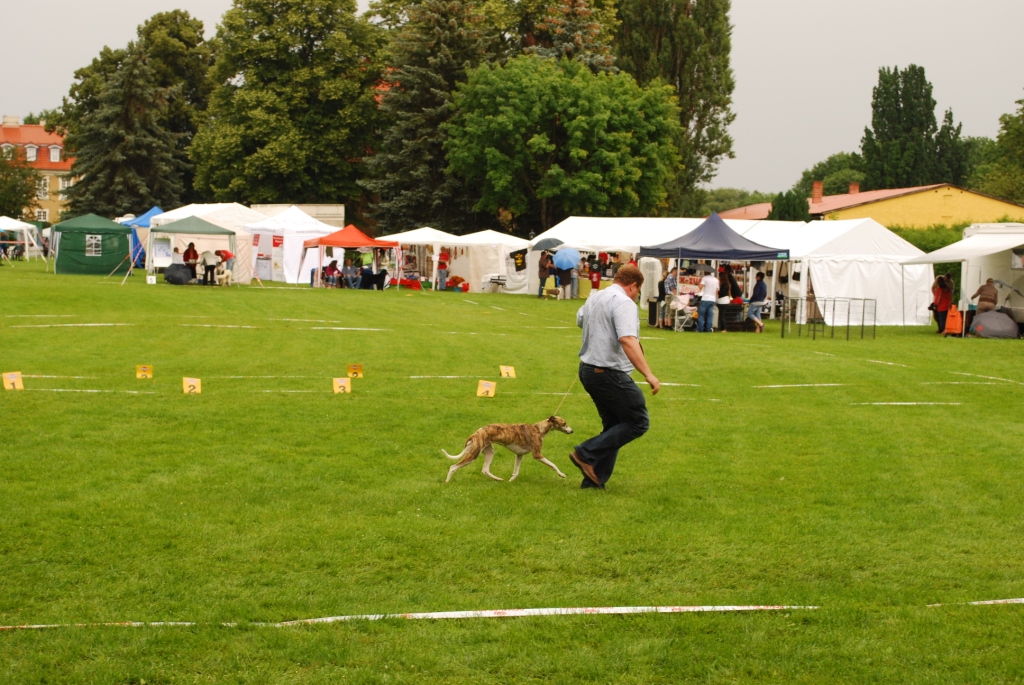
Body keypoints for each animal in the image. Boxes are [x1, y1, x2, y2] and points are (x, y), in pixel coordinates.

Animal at [444, 413, 577, 483]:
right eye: (564, 423)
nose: (572, 431)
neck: (539, 429)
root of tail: (476, 433)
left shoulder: (519, 455)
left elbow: (516, 471)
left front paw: (511, 480)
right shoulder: (537, 454)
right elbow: (553, 465)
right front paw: (562, 475)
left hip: (489, 451)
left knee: (485, 469)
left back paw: (498, 479)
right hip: (473, 454)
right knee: (453, 467)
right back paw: (447, 482)